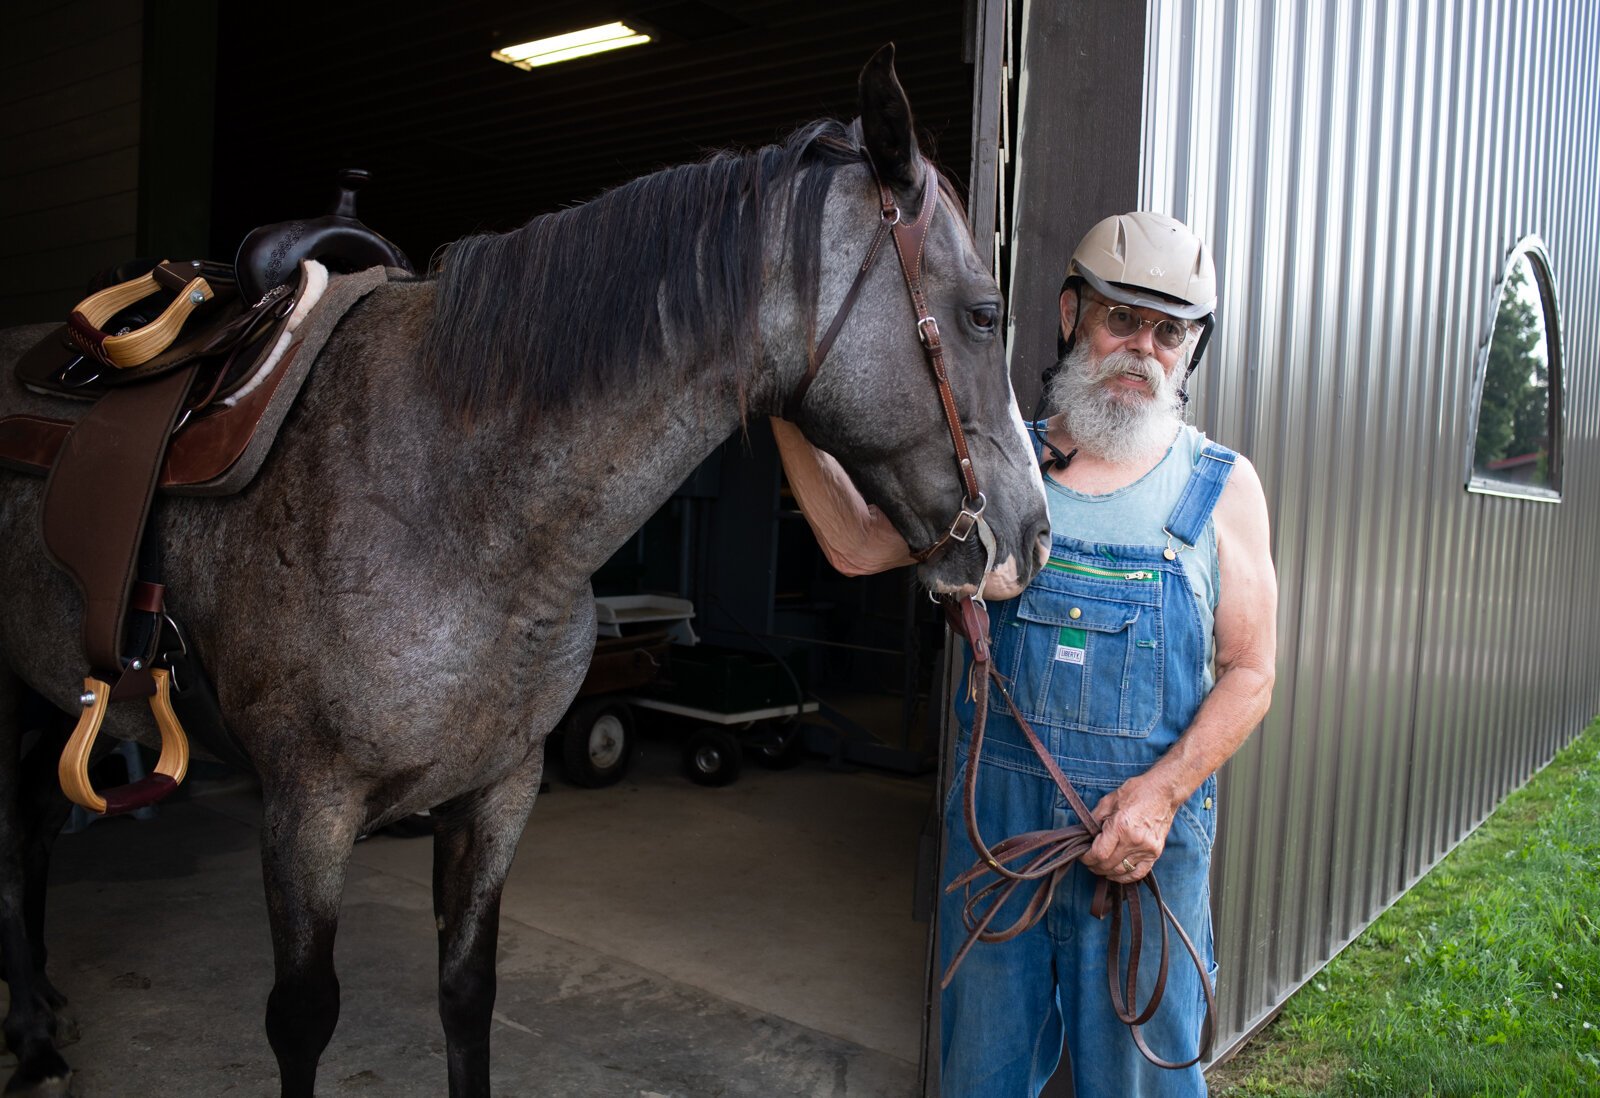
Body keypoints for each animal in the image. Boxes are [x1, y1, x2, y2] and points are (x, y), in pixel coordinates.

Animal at [0, 48, 1049, 1097]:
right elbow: (302, 1019)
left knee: (32, 833)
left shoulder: (500, 789)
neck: (455, 509)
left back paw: (40, 1012)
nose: (1032, 537)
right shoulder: (306, 808)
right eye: (984, 312)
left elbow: (468, 992)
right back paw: (35, 1037)